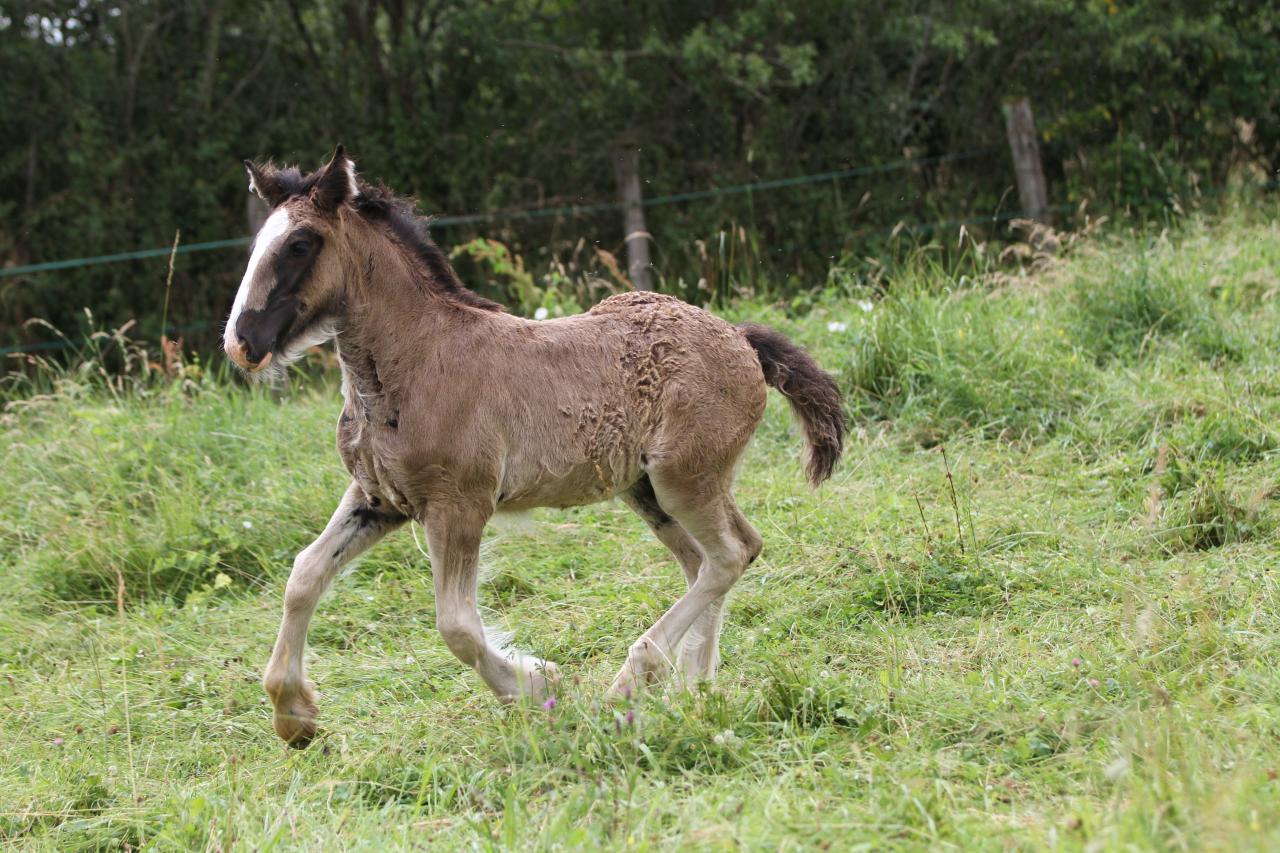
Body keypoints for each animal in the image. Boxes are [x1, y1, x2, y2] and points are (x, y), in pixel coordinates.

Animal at [227, 147, 849, 742]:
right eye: (258, 245)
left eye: (300, 244)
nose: (241, 343)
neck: (415, 361)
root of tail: (740, 339)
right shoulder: (378, 499)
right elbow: (304, 576)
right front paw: (294, 716)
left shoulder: (459, 505)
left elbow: (457, 626)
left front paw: (539, 687)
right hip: (651, 490)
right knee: (714, 558)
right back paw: (697, 689)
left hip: (684, 481)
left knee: (729, 555)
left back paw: (632, 681)